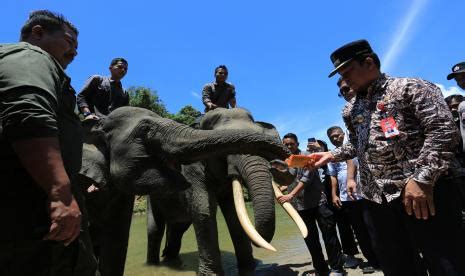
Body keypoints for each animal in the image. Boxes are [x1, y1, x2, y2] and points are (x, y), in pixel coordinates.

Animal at [145, 108, 304, 276]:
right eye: (227, 147)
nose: (275, 164)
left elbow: (234, 215)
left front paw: (249, 268)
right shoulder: (192, 169)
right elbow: (204, 211)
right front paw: (211, 275)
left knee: (178, 227)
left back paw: (170, 259)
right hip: (152, 195)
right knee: (155, 229)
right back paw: (153, 265)